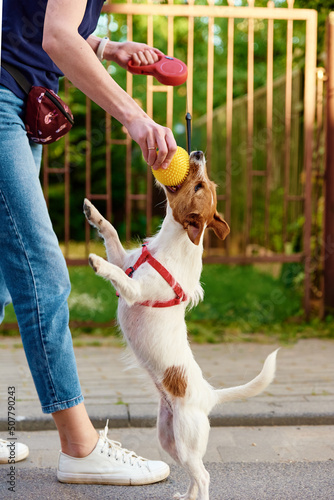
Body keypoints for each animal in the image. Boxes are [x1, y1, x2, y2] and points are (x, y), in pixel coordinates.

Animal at [84, 150, 280, 498]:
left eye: (200, 185)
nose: (199, 153)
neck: (169, 245)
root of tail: (209, 396)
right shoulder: (126, 259)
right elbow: (112, 233)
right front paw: (93, 212)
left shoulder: (134, 290)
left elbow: (115, 272)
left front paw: (98, 262)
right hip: (168, 437)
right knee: (192, 475)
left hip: (187, 440)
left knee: (204, 476)